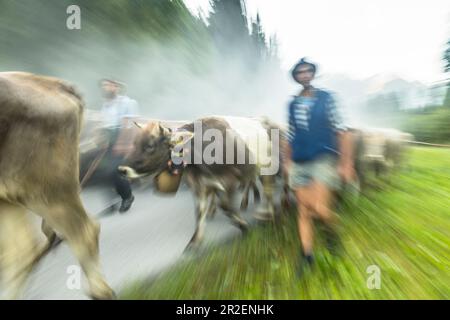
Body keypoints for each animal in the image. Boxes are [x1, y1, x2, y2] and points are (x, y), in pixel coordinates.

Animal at [0, 72, 114, 300]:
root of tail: (54, 83)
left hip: (47, 190)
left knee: (85, 231)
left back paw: (101, 291)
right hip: (11, 196)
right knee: (21, 252)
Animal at [119, 116, 282, 249]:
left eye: (150, 146)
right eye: (134, 143)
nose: (122, 170)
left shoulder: (228, 180)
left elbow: (226, 206)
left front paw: (244, 226)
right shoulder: (200, 185)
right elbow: (200, 211)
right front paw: (195, 241)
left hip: (268, 167)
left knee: (268, 189)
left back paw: (267, 213)